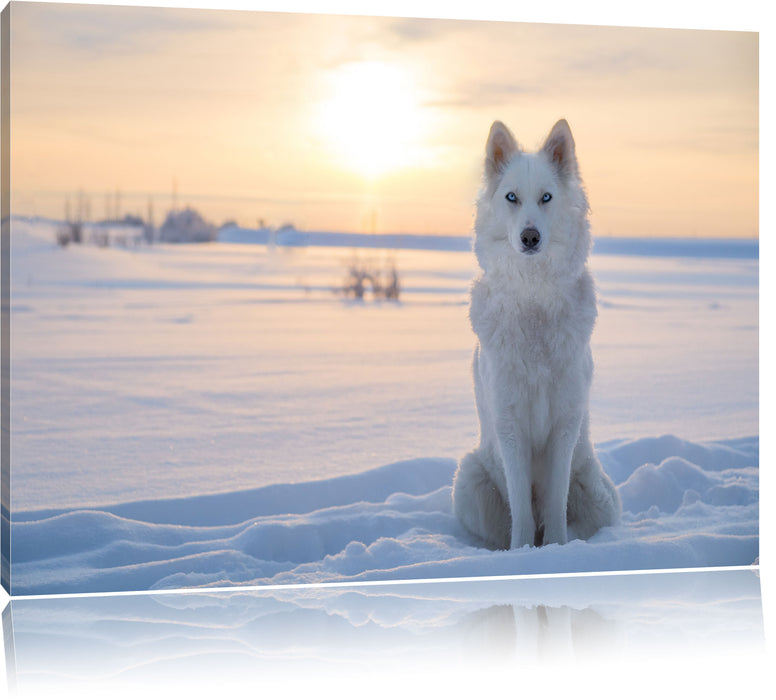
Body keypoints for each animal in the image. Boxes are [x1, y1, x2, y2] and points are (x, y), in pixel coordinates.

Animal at [452, 119, 621, 550]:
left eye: (546, 198)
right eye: (511, 197)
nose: (530, 237)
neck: (534, 301)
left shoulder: (565, 422)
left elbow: (556, 502)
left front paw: (557, 550)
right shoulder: (509, 424)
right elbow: (523, 511)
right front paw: (523, 553)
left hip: (599, 495)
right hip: (469, 480)